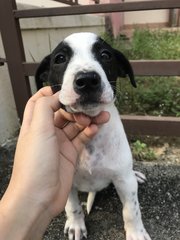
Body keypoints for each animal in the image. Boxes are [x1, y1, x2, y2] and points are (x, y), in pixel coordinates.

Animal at [35, 32, 150, 240]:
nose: (87, 79)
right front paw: (76, 224)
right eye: (60, 58)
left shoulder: (124, 182)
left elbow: (131, 210)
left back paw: (136, 174)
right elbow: (72, 206)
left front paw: (136, 233)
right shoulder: (67, 184)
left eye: (105, 55)